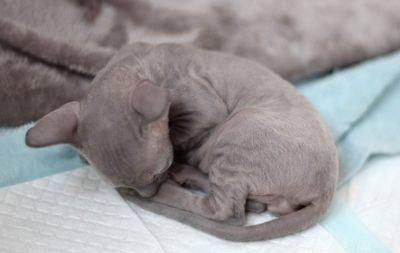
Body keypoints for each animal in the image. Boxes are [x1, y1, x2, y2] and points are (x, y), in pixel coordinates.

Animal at [25, 43, 338, 241]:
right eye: (131, 184)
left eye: (157, 171)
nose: (147, 193)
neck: (134, 63)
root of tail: (326, 191)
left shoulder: (206, 108)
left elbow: (178, 135)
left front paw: (172, 167)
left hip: (239, 130)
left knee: (226, 211)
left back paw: (177, 184)